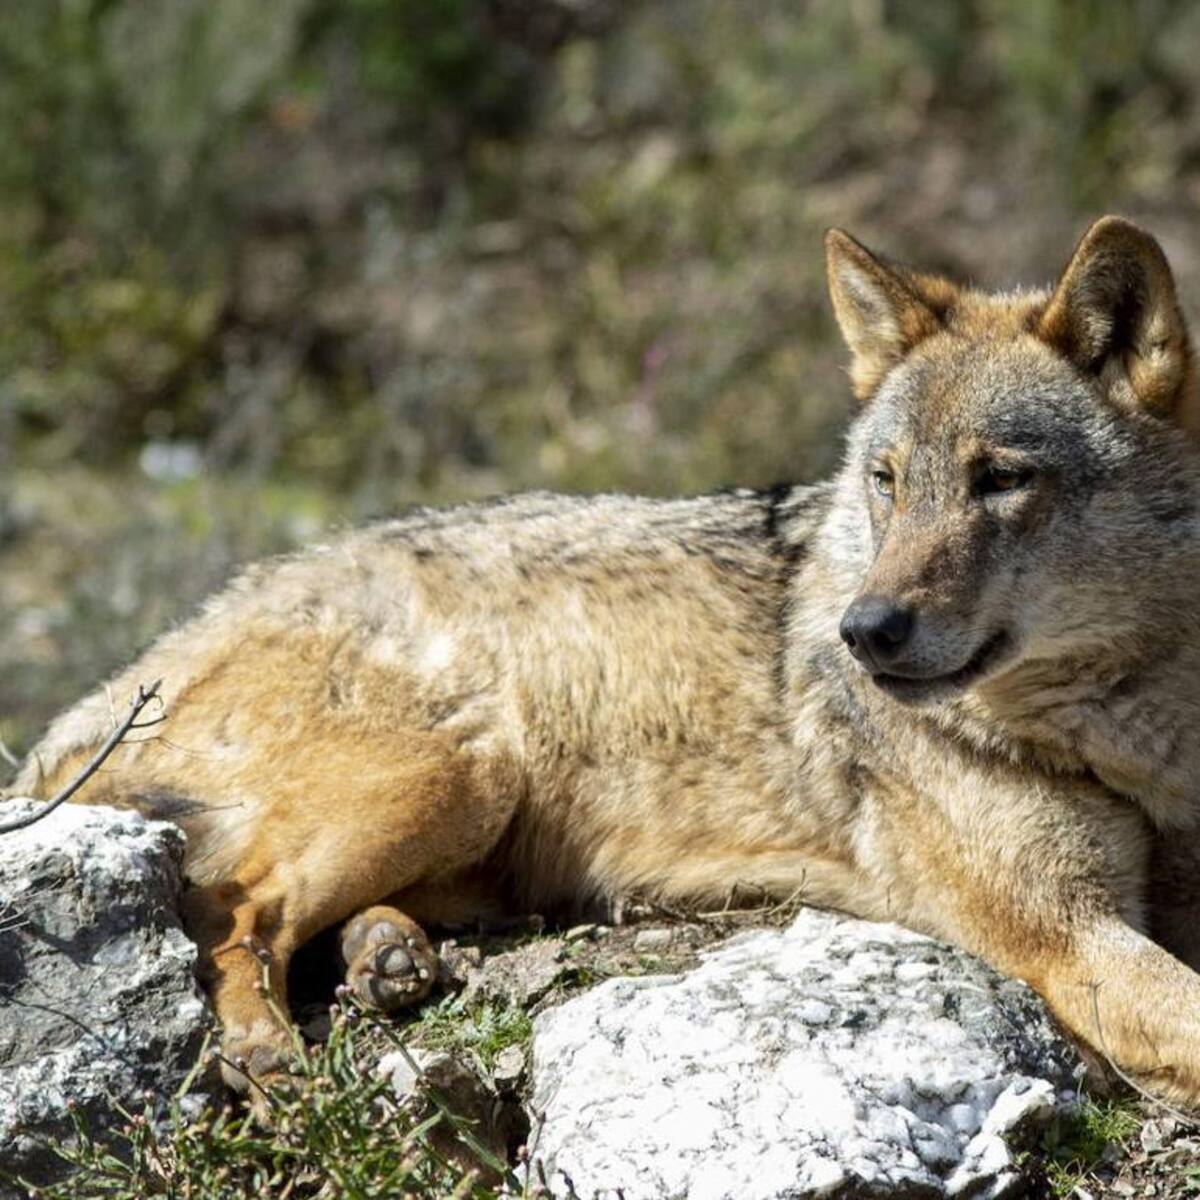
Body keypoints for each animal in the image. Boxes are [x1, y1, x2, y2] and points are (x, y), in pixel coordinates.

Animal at [13, 216, 1200, 1104]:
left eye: (1001, 479)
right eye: (889, 481)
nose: (863, 632)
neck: (1132, 741)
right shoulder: (1066, 937)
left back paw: (385, 960)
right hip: (462, 773)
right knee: (234, 909)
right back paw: (268, 1048)